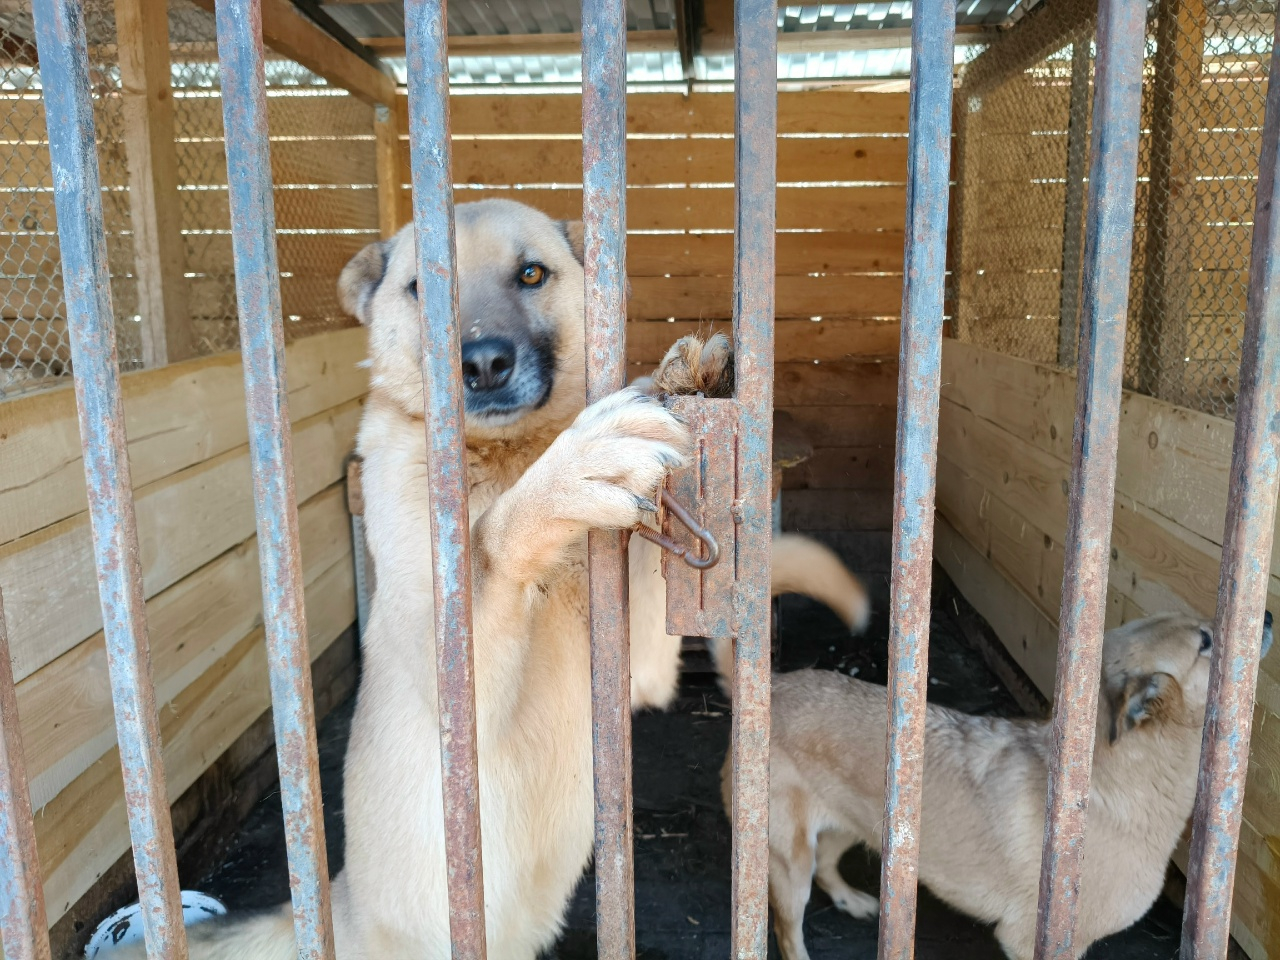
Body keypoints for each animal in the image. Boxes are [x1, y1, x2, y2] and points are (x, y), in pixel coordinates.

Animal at [102, 199, 870, 958]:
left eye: (531, 273)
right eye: (422, 289)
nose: (483, 362)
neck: (504, 456)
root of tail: (338, 906)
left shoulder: (645, 661)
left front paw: (688, 378)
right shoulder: (456, 682)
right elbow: (495, 541)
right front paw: (570, 472)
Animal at [717, 611, 1273, 960]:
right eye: (1205, 640)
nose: (1266, 615)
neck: (1103, 787)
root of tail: (773, 684)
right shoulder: (1035, 939)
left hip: (863, 824)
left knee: (830, 864)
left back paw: (854, 901)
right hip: (790, 862)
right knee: (787, 930)